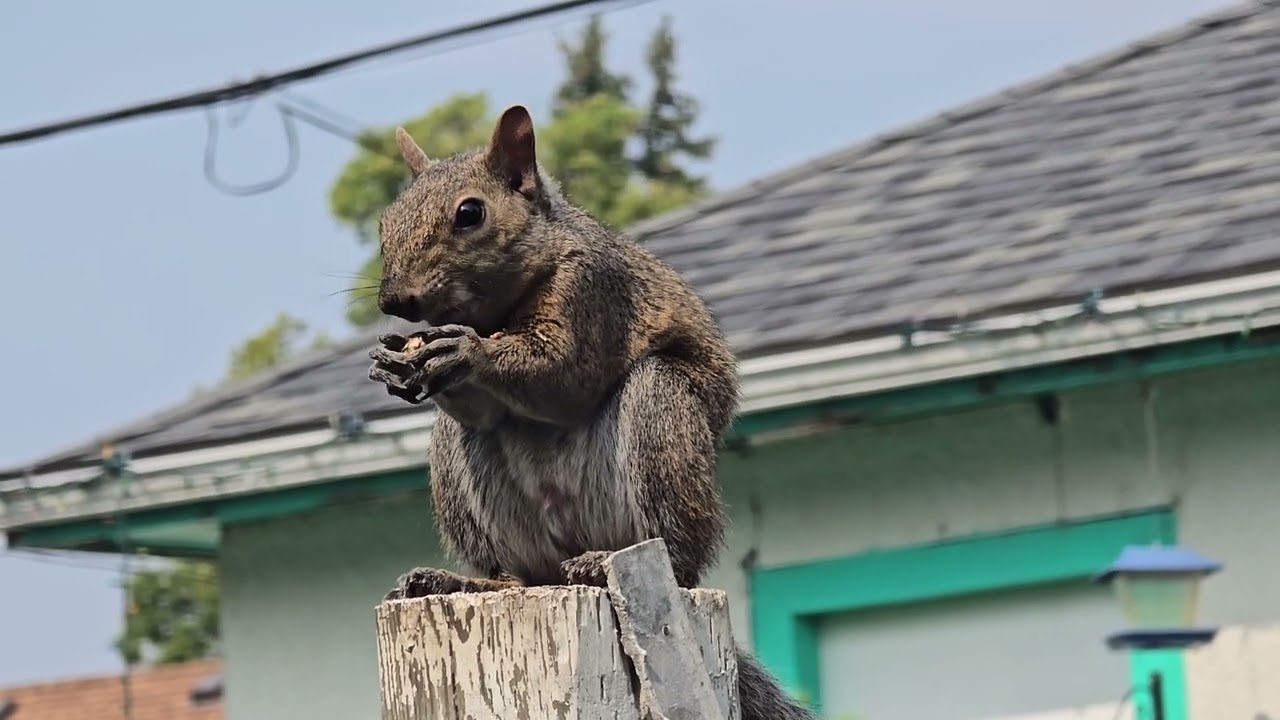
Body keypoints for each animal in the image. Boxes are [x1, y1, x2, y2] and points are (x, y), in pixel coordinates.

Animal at [367, 104, 815, 720]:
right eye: (384, 221)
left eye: (470, 213)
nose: (394, 300)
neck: (500, 308)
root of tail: (567, 552)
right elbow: (480, 411)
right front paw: (397, 364)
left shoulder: (592, 290)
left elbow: (563, 375)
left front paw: (469, 352)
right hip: (480, 504)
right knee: (515, 574)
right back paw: (465, 583)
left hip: (661, 423)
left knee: (677, 557)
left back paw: (611, 563)